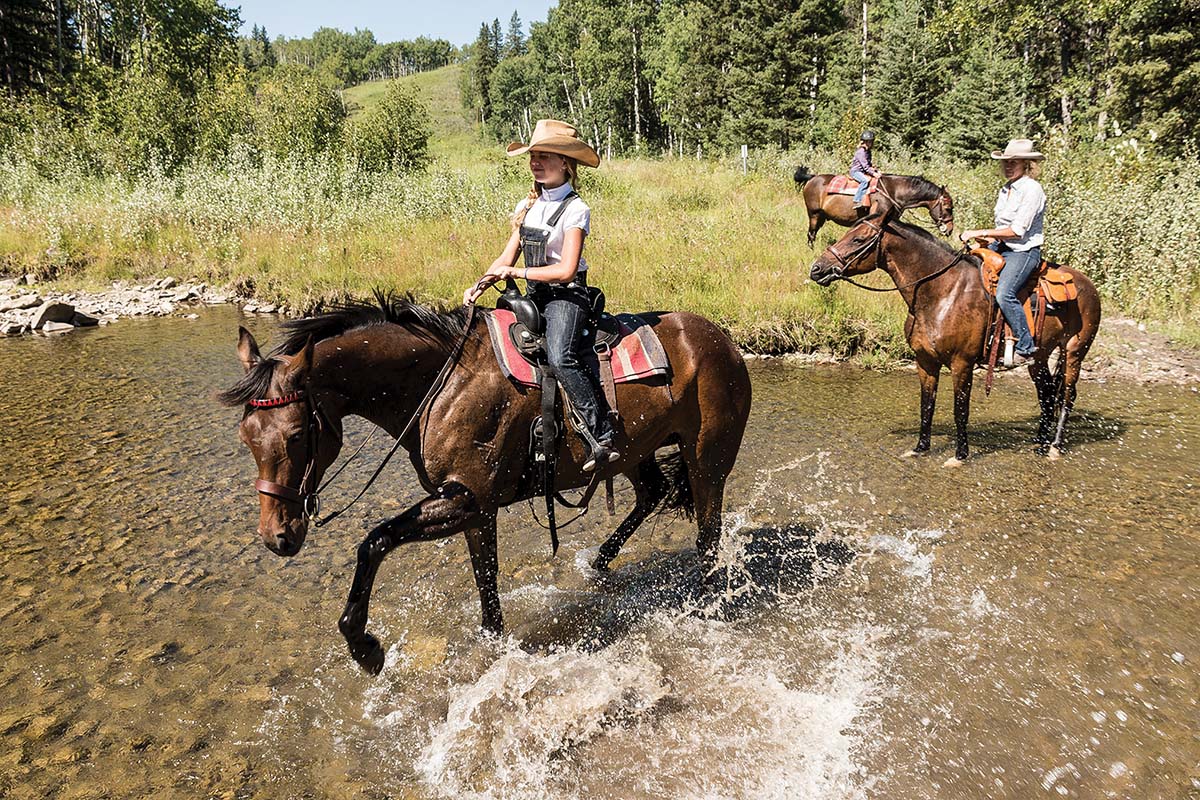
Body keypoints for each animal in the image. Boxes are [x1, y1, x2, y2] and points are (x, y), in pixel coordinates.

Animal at [218, 293, 751, 674]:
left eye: (297, 434)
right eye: (245, 436)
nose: (277, 536)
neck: (443, 382)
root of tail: (723, 340)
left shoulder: (467, 500)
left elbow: (375, 541)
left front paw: (364, 646)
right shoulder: (475, 510)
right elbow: (486, 586)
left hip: (707, 461)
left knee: (708, 537)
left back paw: (703, 605)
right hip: (634, 453)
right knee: (652, 494)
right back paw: (599, 561)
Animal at [793, 169, 955, 247]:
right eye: (948, 208)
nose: (949, 229)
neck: (894, 191)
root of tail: (812, 178)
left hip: (821, 216)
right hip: (814, 214)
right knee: (811, 234)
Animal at [808, 212, 1101, 465]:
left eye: (858, 239)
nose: (817, 269)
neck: (942, 292)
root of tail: (1088, 285)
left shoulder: (962, 363)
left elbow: (960, 409)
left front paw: (960, 456)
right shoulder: (925, 362)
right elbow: (927, 405)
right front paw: (920, 448)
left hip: (1075, 351)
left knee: (1067, 394)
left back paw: (1055, 446)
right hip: (1039, 357)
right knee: (1047, 393)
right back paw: (1040, 443)